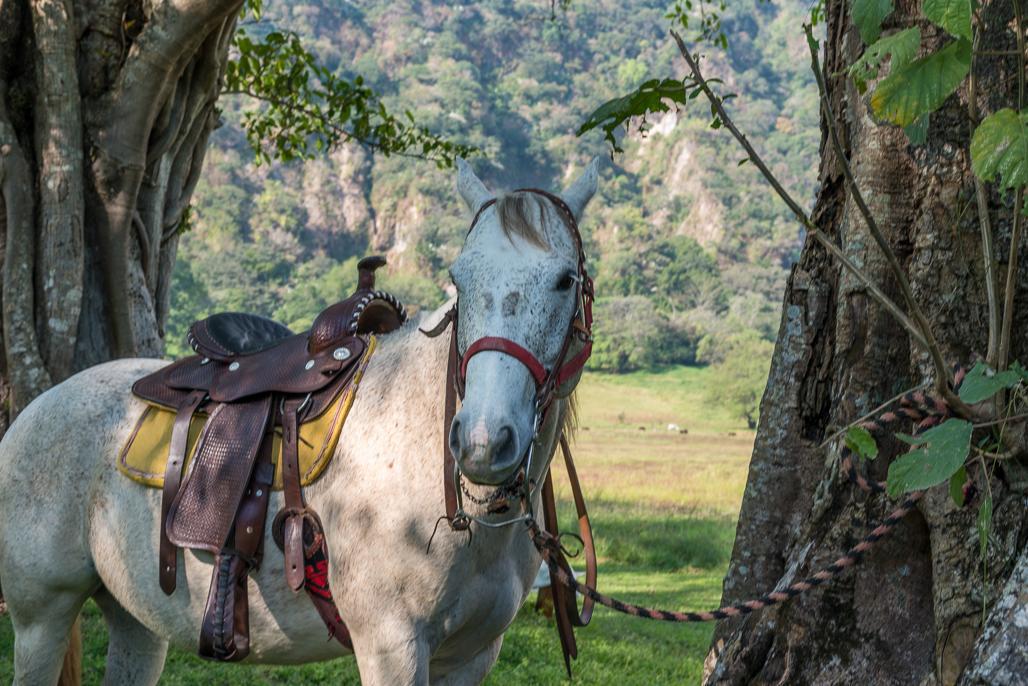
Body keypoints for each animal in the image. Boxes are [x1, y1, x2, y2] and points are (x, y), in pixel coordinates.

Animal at [0, 158, 600, 682]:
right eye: (459, 278)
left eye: (565, 281)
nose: (482, 441)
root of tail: (35, 409)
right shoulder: (392, 648)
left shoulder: (472, 657)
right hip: (41, 619)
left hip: (136, 621)